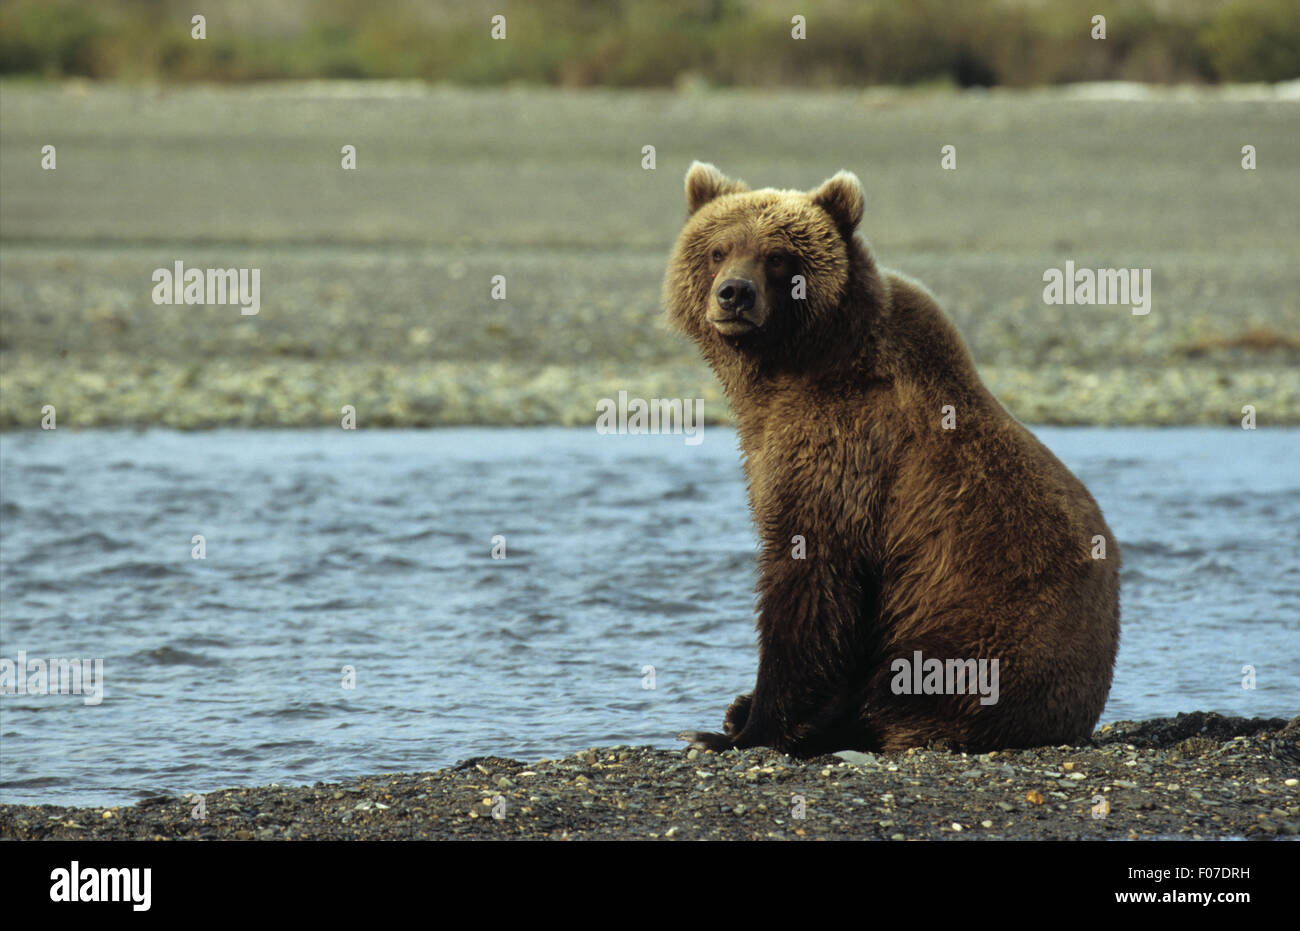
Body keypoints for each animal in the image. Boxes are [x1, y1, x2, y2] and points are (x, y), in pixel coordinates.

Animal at [665, 161, 1120, 755]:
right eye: (719, 249)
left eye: (778, 256)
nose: (734, 295)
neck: (790, 368)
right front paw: (738, 715)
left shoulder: (844, 454)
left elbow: (811, 579)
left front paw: (743, 731)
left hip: (975, 631)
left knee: (909, 691)